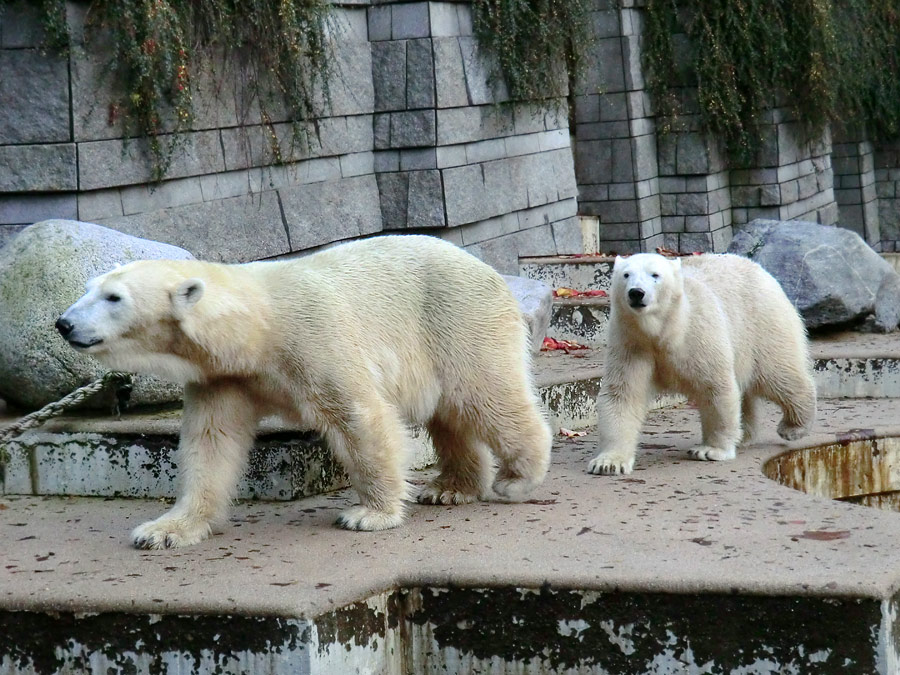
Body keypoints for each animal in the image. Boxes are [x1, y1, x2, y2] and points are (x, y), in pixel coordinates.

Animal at [59, 235, 552, 548]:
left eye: (114, 298)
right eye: (88, 288)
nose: (64, 323)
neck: (257, 329)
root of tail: (488, 270)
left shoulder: (314, 338)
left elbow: (360, 415)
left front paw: (370, 514)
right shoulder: (223, 377)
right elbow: (211, 444)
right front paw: (164, 530)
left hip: (455, 318)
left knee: (485, 394)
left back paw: (517, 476)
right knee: (450, 415)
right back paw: (451, 488)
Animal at [588, 252, 820, 476]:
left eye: (655, 275)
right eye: (626, 274)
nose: (636, 293)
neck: (664, 331)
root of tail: (761, 269)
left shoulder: (698, 333)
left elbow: (715, 387)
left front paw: (710, 450)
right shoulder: (631, 344)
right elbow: (622, 394)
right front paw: (608, 463)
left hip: (762, 324)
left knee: (778, 374)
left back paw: (792, 427)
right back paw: (744, 435)